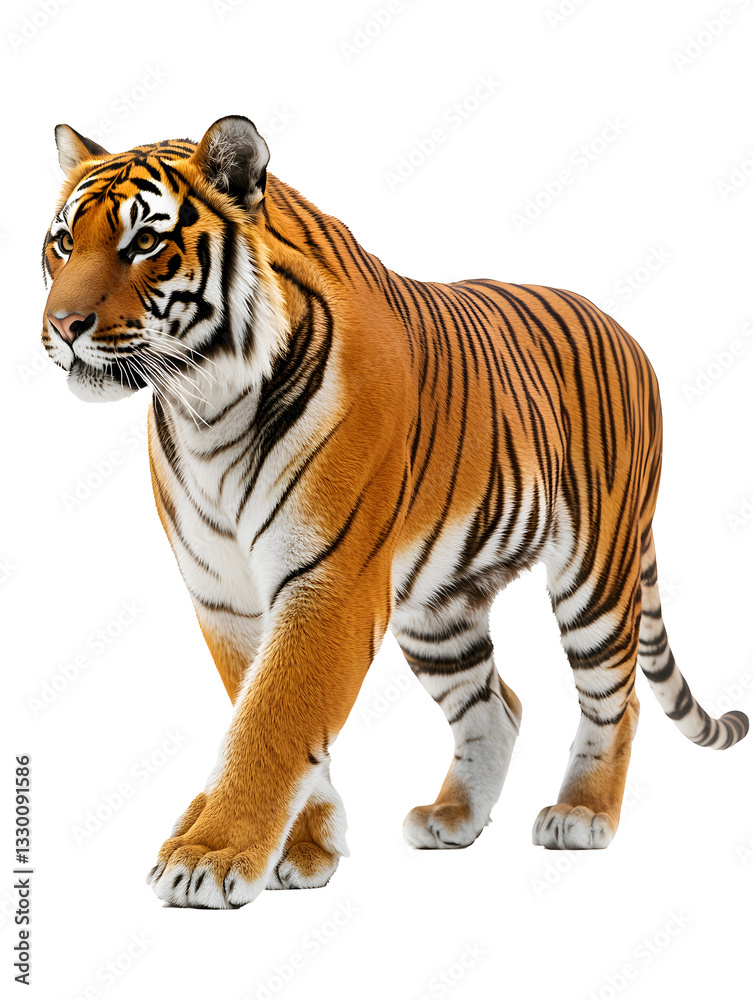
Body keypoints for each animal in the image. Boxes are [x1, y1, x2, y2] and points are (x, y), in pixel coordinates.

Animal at [41, 115, 748, 910]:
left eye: (144, 242)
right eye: (63, 243)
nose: (62, 324)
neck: (206, 408)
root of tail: (623, 329)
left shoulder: (328, 585)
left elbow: (271, 722)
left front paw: (210, 857)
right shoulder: (224, 595)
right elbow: (267, 715)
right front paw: (306, 849)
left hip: (596, 572)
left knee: (614, 699)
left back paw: (582, 813)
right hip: (439, 608)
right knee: (496, 703)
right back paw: (454, 817)